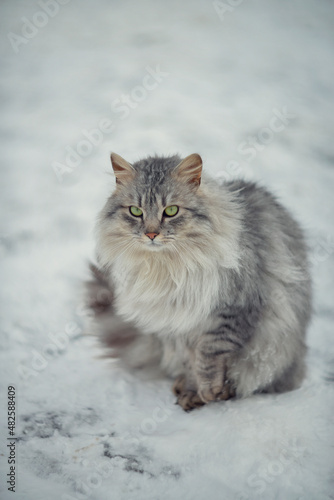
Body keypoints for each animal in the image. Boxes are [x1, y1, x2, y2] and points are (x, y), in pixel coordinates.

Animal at [85, 152, 310, 410]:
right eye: (135, 211)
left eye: (171, 210)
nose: (151, 234)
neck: (167, 269)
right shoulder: (176, 326)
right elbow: (191, 363)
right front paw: (195, 391)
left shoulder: (231, 311)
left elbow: (209, 356)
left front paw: (210, 391)